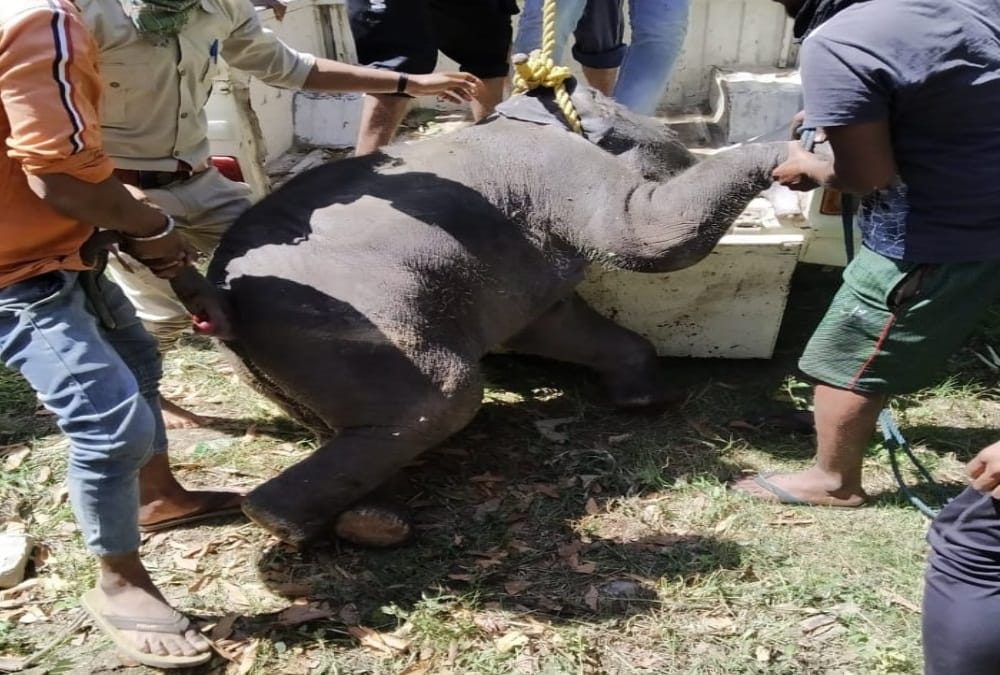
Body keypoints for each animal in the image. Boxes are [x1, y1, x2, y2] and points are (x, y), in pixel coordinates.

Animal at [206, 83, 791, 548]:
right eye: (668, 139)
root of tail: (222, 300)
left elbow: (559, 324)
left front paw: (650, 403)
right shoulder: (564, 171)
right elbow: (642, 237)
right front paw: (793, 152)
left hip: (287, 358)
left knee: (361, 423)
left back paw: (367, 522)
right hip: (340, 325)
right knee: (443, 397)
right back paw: (284, 522)